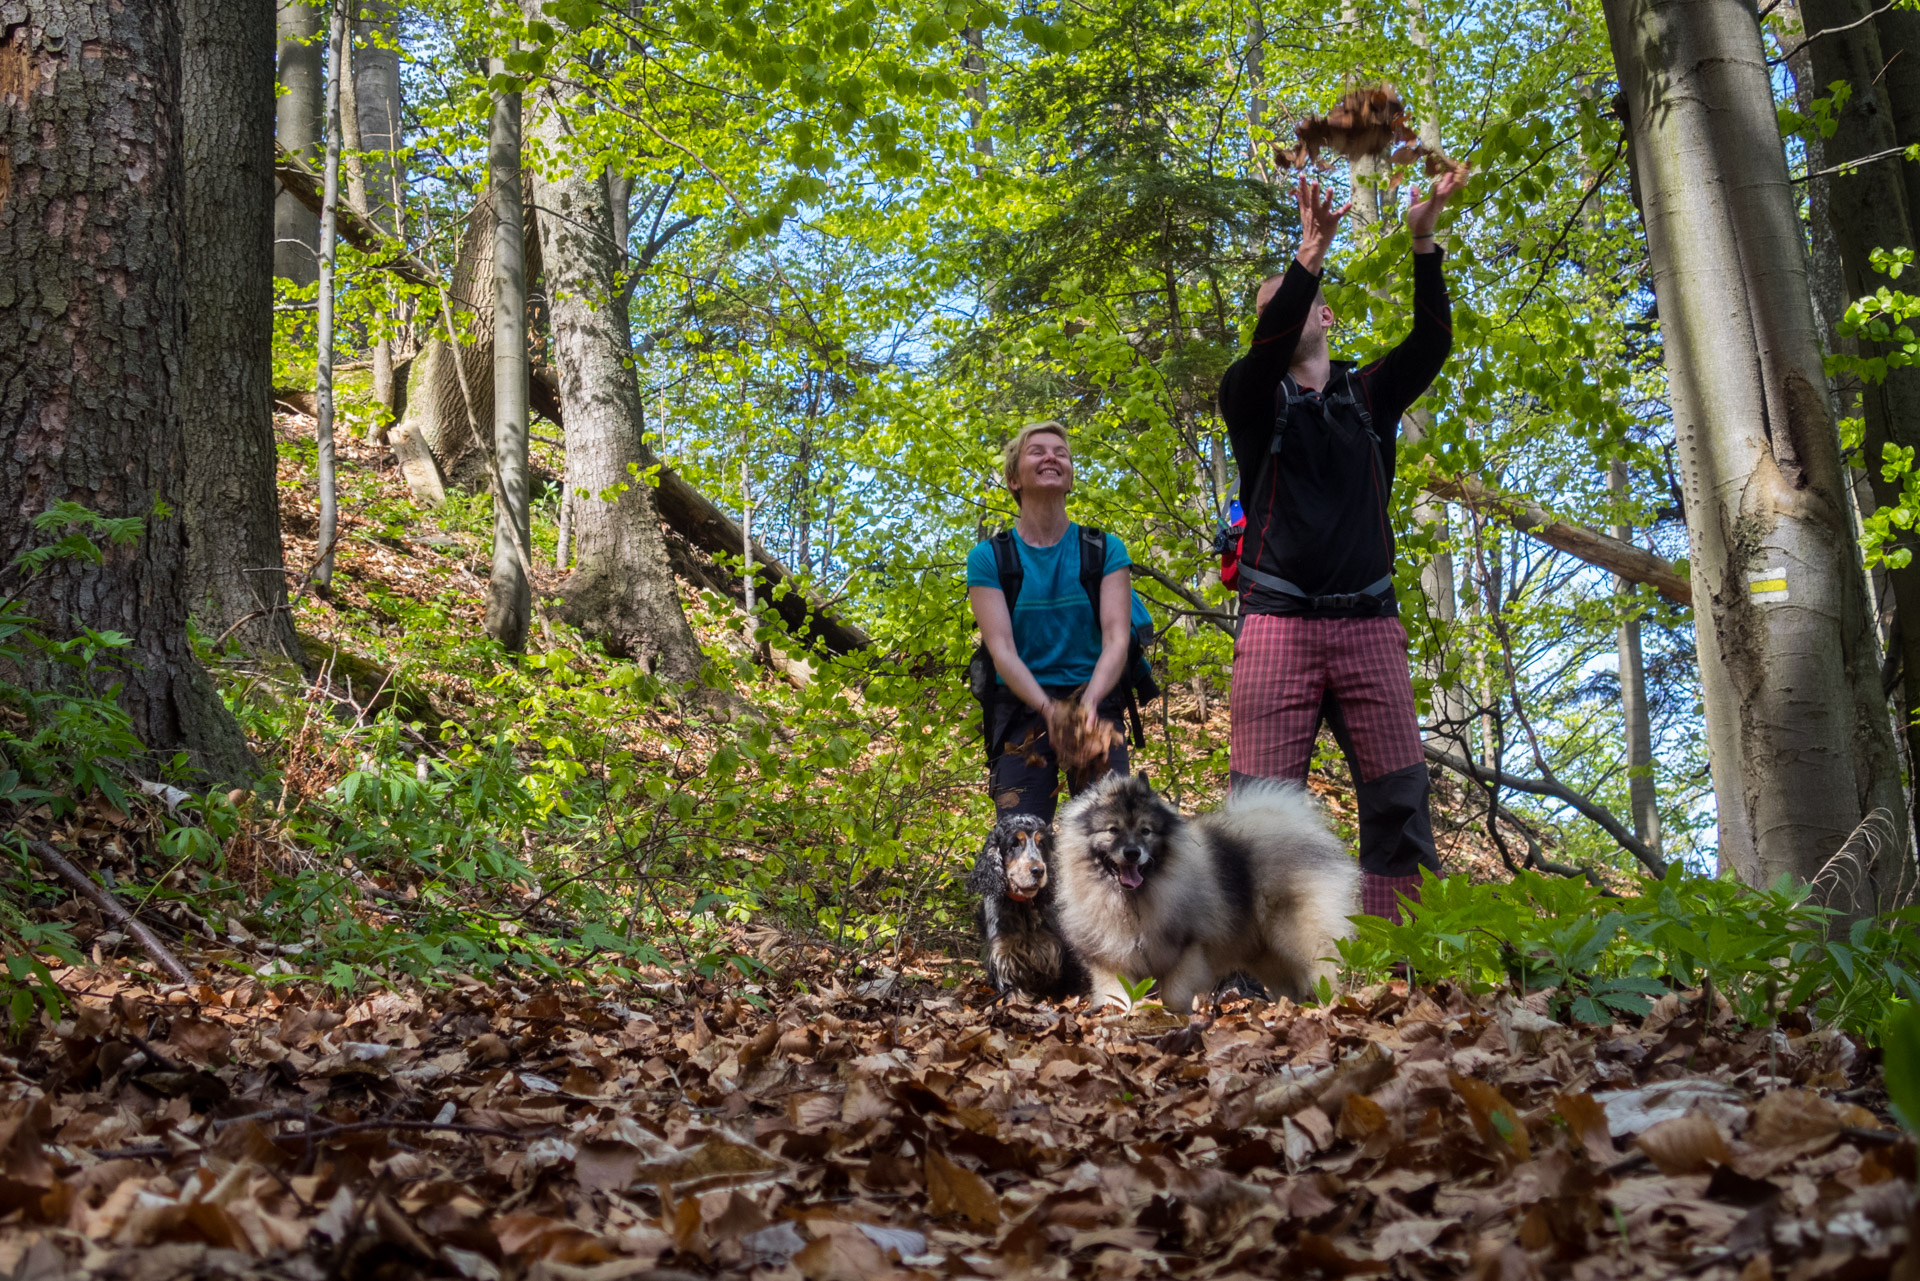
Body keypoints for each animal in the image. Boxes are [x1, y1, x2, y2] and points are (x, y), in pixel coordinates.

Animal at [967, 821, 1090, 998]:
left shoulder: (1060, 954)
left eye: (1041, 844)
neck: (1022, 907)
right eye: (1014, 844)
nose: (1038, 871)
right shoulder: (1004, 956)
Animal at [1059, 772, 1359, 1014]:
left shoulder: (1189, 950)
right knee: (1291, 988)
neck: (1132, 899)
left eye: (1146, 831)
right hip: (1266, 954)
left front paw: (1178, 1017)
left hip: (1297, 935)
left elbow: (1174, 994)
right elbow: (1118, 998)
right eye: (1113, 830)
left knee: (1322, 972)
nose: (1132, 853)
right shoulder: (1111, 959)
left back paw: (1330, 1007)